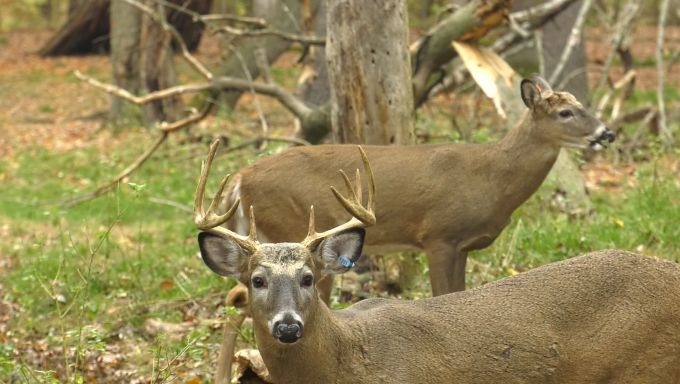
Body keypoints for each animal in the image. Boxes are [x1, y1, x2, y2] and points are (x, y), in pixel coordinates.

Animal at [222, 76, 616, 296]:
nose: (607, 133)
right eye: (565, 113)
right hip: (291, 226)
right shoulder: (438, 235)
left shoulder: (461, 244)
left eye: (580, 103)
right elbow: (442, 297)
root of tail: (241, 177)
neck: (491, 178)